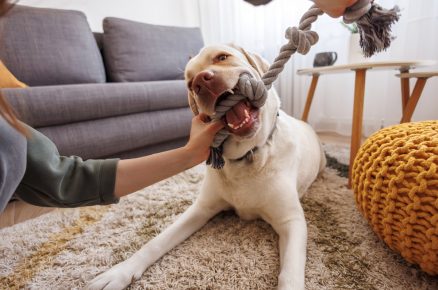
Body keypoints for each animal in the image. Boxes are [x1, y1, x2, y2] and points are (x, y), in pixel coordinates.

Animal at [86, 44, 326, 288]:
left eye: (222, 57)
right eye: (189, 83)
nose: (201, 81)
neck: (248, 155)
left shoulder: (292, 221)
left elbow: (290, 274)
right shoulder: (201, 208)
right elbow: (156, 241)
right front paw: (119, 272)